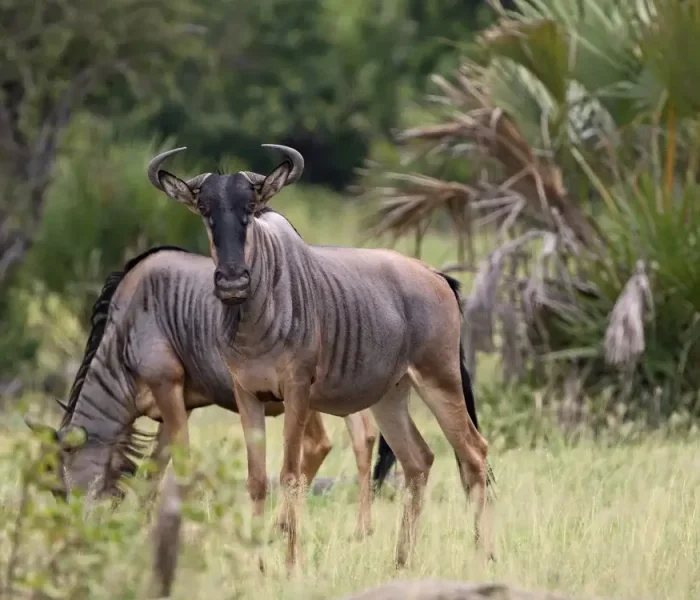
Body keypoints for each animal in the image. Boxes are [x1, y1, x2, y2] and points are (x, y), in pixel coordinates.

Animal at [23, 245, 378, 538]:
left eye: (61, 487)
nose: (74, 532)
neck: (123, 335)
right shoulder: (177, 404)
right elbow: (155, 469)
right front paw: (143, 528)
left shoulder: (167, 386)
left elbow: (180, 464)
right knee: (364, 437)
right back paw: (360, 530)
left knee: (319, 444)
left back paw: (281, 528)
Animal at [146, 144, 495, 570]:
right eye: (204, 208)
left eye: (251, 206)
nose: (232, 283)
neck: (255, 319)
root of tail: (437, 276)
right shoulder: (247, 393)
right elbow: (257, 478)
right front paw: (255, 564)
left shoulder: (296, 390)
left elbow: (290, 474)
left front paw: (290, 562)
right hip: (390, 397)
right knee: (419, 460)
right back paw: (400, 560)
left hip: (439, 380)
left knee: (474, 453)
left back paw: (483, 556)